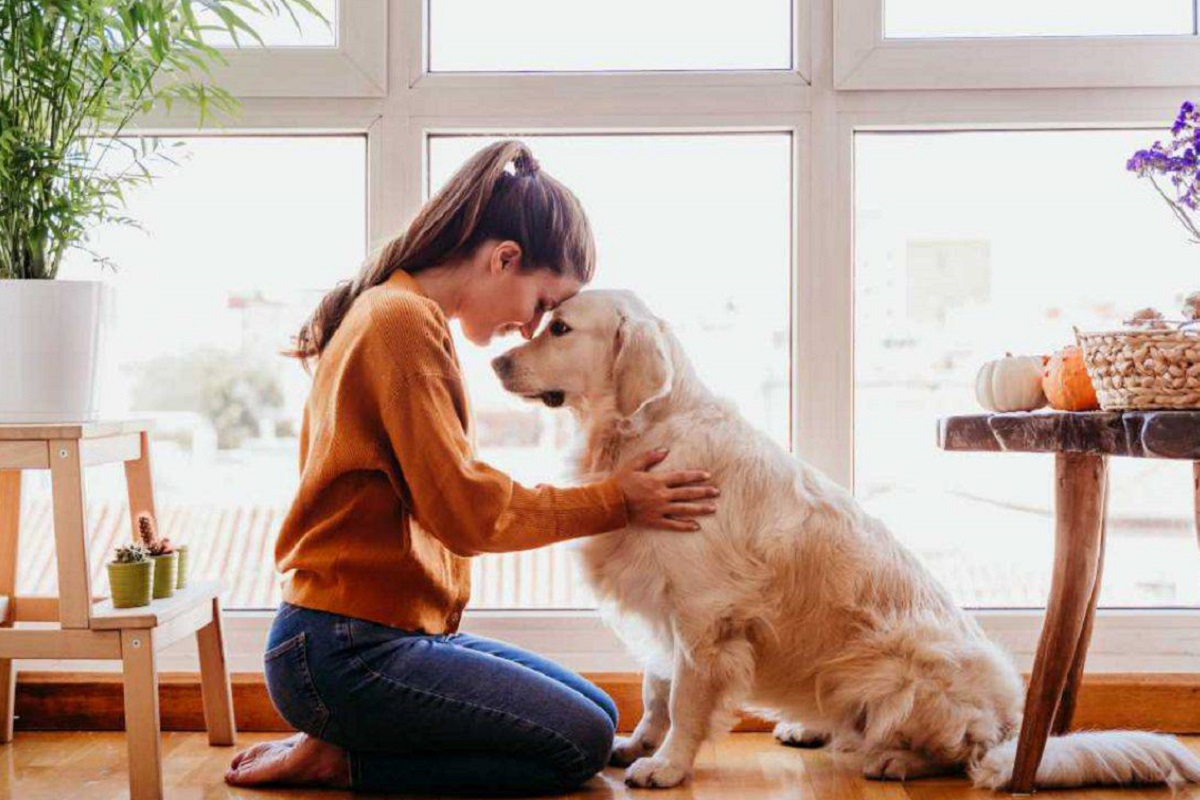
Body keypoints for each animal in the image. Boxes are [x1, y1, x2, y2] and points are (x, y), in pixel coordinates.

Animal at [492, 291, 1200, 791]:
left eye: (560, 328)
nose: (496, 359)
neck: (644, 430)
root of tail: (1010, 725)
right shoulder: (660, 604)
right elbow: (655, 689)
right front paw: (640, 743)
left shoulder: (702, 614)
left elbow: (687, 698)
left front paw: (665, 765)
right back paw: (808, 728)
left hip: (900, 664)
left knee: (964, 754)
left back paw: (896, 760)